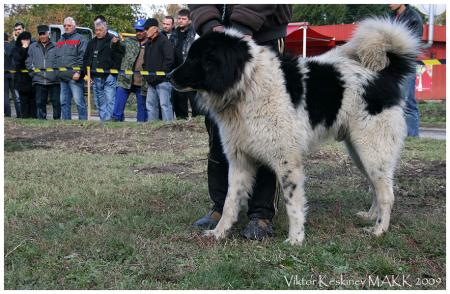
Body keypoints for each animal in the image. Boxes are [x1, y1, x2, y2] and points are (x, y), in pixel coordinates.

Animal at [171, 17, 422, 245]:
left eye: (195, 58)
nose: (170, 75)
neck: (248, 82)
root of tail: (383, 73)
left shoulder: (286, 160)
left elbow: (293, 204)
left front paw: (296, 239)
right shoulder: (240, 160)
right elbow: (229, 202)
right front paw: (219, 233)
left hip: (372, 152)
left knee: (387, 194)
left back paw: (379, 230)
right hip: (361, 154)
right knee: (377, 189)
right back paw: (370, 216)